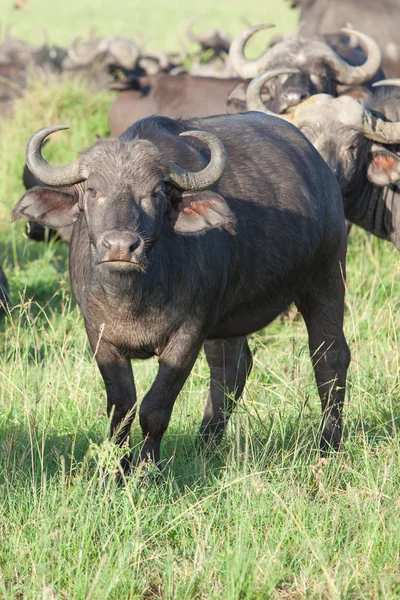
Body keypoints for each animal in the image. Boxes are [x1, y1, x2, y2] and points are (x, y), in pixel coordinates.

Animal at [11, 113, 350, 468]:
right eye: (92, 190)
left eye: (155, 193)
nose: (120, 246)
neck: (133, 296)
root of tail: (321, 170)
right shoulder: (99, 335)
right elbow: (121, 408)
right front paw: (118, 468)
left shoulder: (189, 332)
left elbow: (154, 408)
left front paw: (147, 467)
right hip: (230, 318)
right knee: (231, 368)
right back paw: (206, 443)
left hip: (326, 277)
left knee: (329, 357)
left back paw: (329, 446)